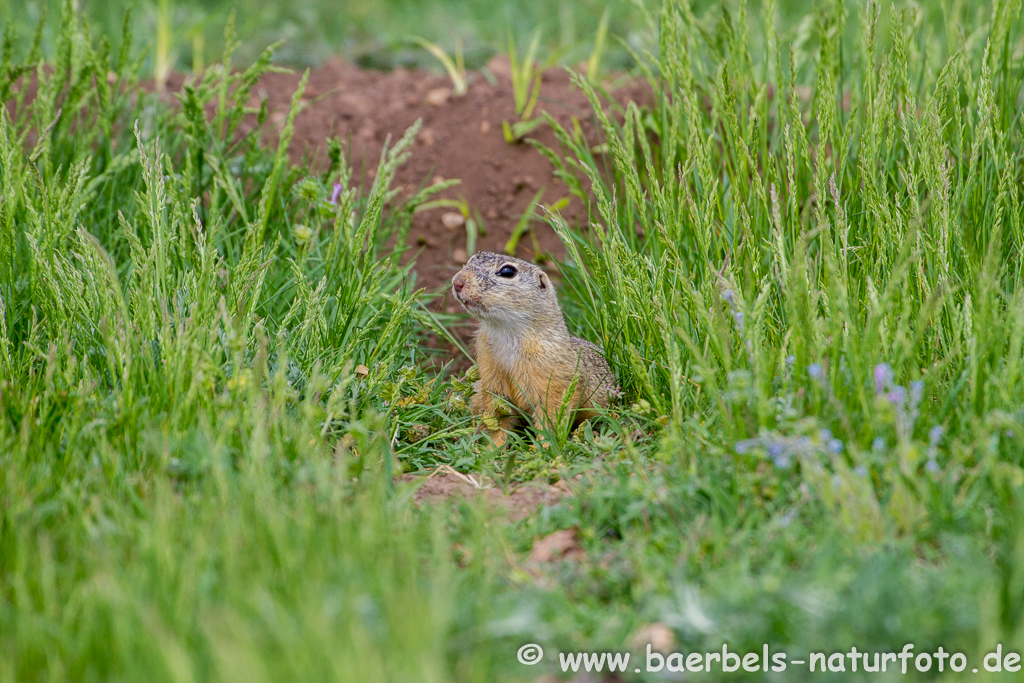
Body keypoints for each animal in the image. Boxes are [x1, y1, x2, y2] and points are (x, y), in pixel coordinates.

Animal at [450, 253, 614, 446]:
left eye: (507, 271)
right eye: (472, 259)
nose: (457, 282)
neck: (507, 333)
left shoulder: (553, 386)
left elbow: (549, 420)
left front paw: (544, 447)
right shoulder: (493, 382)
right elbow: (498, 421)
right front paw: (492, 448)